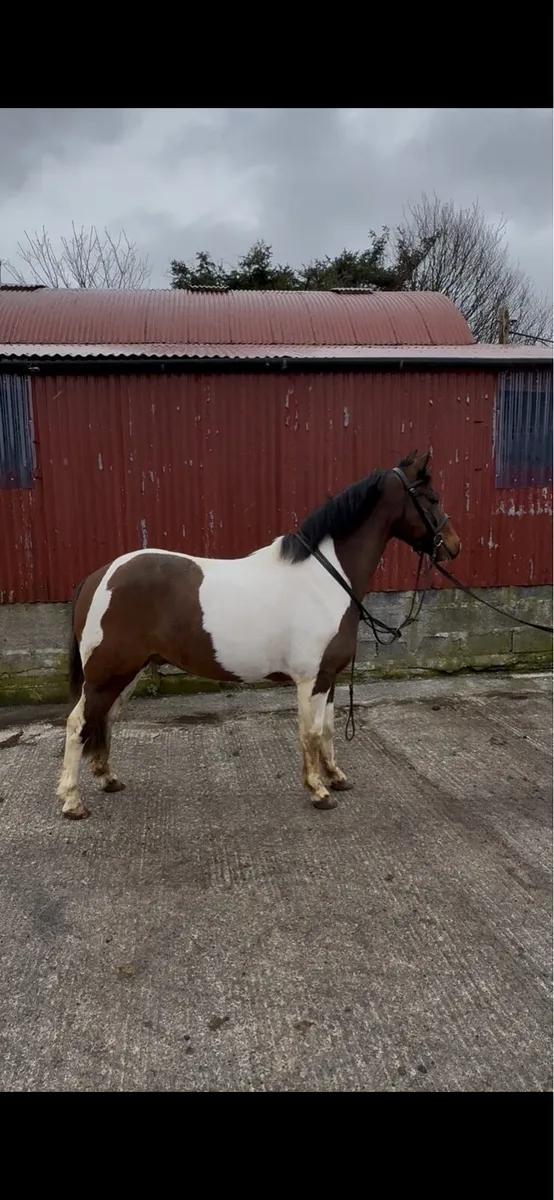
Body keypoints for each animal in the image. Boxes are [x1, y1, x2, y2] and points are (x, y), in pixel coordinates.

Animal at [57, 449, 461, 820]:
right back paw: (73, 801)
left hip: (127, 673)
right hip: (106, 675)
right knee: (79, 723)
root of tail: (99, 576)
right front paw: (318, 792)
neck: (326, 579)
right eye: (432, 498)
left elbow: (328, 729)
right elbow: (311, 733)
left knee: (104, 719)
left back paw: (108, 779)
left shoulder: (328, 677)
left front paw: (336, 777)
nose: (454, 546)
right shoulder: (311, 679)